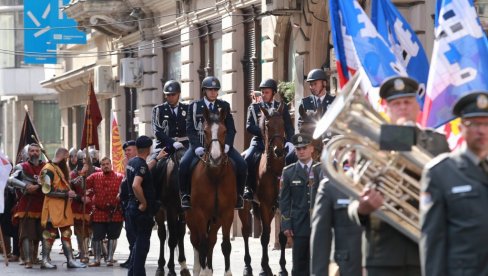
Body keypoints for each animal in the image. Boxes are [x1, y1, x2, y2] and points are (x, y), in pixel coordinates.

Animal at [153, 148, 190, 276]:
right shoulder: (171, 210)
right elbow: (172, 239)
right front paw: (171, 269)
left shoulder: (184, 213)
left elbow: (180, 235)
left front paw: (183, 266)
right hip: (159, 212)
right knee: (162, 235)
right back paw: (160, 267)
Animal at [185, 106, 236, 274]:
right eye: (205, 131)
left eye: (225, 131)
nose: (215, 158)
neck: (215, 176)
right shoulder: (200, 214)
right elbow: (202, 244)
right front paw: (203, 271)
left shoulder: (227, 213)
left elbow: (225, 245)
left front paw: (227, 272)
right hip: (190, 217)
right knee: (197, 241)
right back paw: (197, 269)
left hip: (215, 219)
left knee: (211, 240)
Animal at [239, 103, 286, 276]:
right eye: (267, 125)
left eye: (283, 123)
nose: (279, 151)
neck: (275, 172)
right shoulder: (265, 205)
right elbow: (265, 237)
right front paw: (264, 267)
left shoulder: (281, 206)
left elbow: (281, 235)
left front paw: (282, 268)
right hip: (245, 206)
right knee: (246, 232)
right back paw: (248, 267)